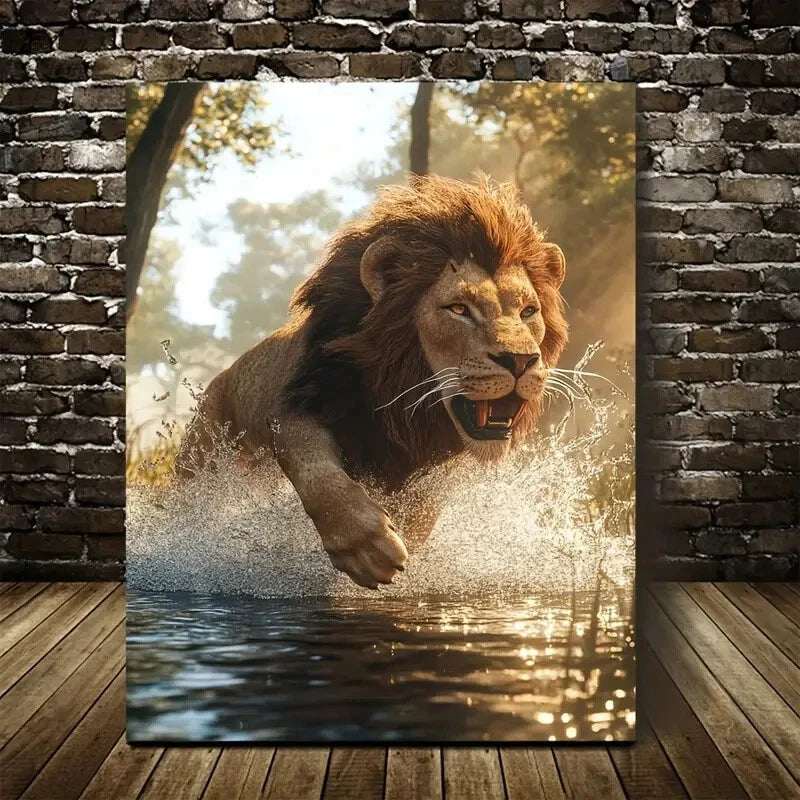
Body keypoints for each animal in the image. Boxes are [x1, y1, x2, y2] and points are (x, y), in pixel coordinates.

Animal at [175, 174, 568, 589]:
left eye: (528, 312)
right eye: (459, 309)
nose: (521, 360)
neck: (404, 403)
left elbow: (421, 513)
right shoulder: (299, 405)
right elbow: (317, 474)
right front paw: (367, 548)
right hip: (202, 461)